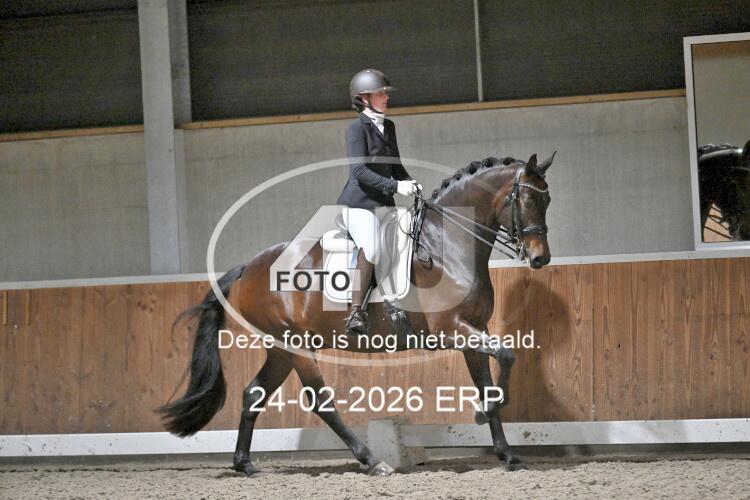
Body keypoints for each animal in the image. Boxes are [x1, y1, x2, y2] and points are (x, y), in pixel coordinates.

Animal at [159, 152, 556, 476]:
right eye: (525, 198)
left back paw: (245, 464)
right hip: (296, 345)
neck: (450, 247)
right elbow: (508, 354)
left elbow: (491, 376)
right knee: (321, 402)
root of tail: (247, 269)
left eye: (547, 198)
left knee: (253, 393)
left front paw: (506, 452)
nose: (540, 258)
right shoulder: (452, 329)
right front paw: (483, 412)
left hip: (281, 348)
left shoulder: (474, 330)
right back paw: (372, 461)